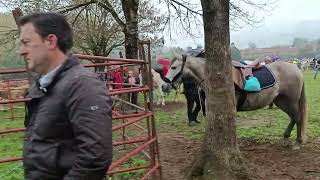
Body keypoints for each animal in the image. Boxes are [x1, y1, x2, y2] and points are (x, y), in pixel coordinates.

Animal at [165, 54, 308, 149]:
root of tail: (296, 69)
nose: (164, 85)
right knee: (293, 118)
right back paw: (286, 136)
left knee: (297, 117)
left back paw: (298, 141)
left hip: (291, 101)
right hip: (281, 100)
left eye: (173, 67)